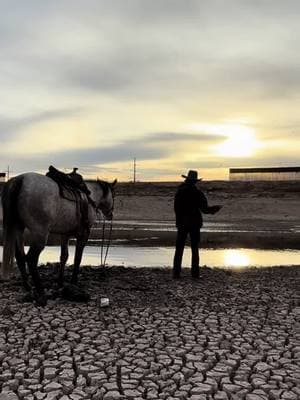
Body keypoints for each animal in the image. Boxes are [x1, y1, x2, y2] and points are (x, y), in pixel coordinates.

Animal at [0, 172, 116, 306]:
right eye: (114, 195)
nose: (111, 214)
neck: (89, 198)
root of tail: (20, 179)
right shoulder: (83, 235)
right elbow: (77, 259)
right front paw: (73, 282)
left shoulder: (64, 235)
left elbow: (64, 256)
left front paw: (60, 282)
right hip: (40, 234)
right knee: (31, 259)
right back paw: (41, 292)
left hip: (18, 228)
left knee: (20, 256)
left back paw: (27, 286)